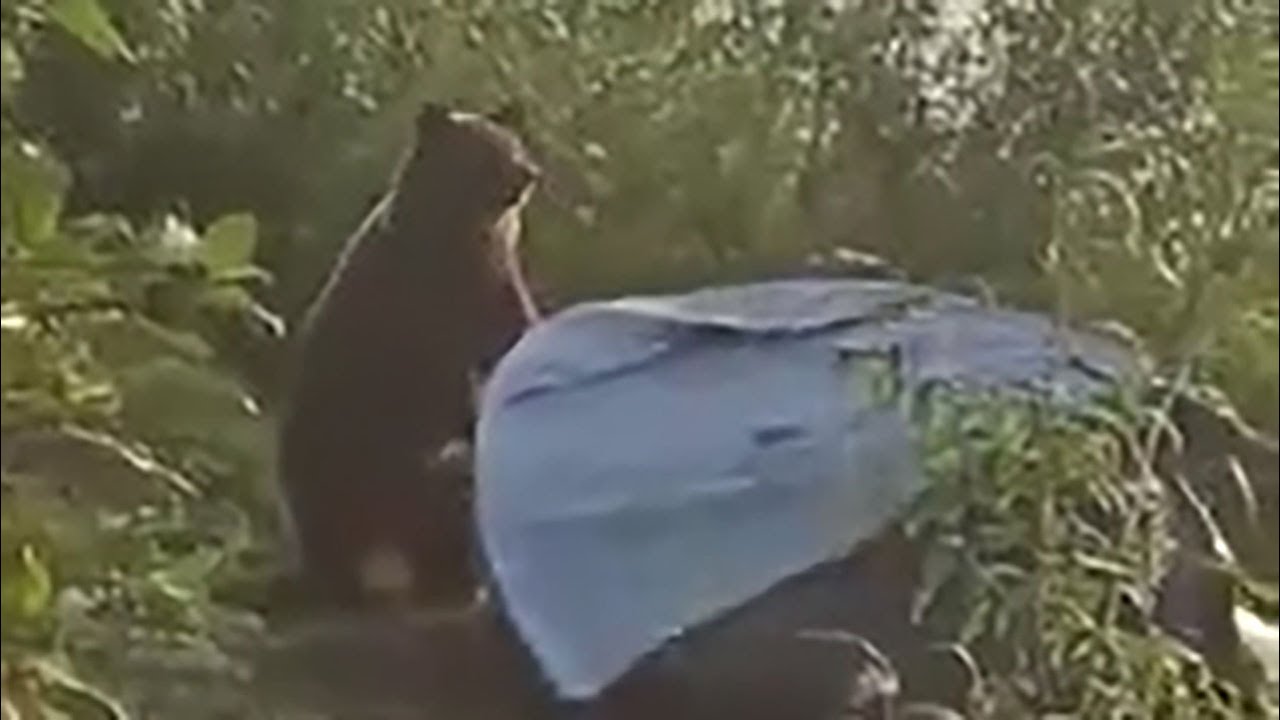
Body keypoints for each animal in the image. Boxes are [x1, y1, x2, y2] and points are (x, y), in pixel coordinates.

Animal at [276, 102, 541, 611]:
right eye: (487, 147)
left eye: (514, 143)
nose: (528, 173)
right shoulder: (426, 311)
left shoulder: (496, 286)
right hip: (348, 466)